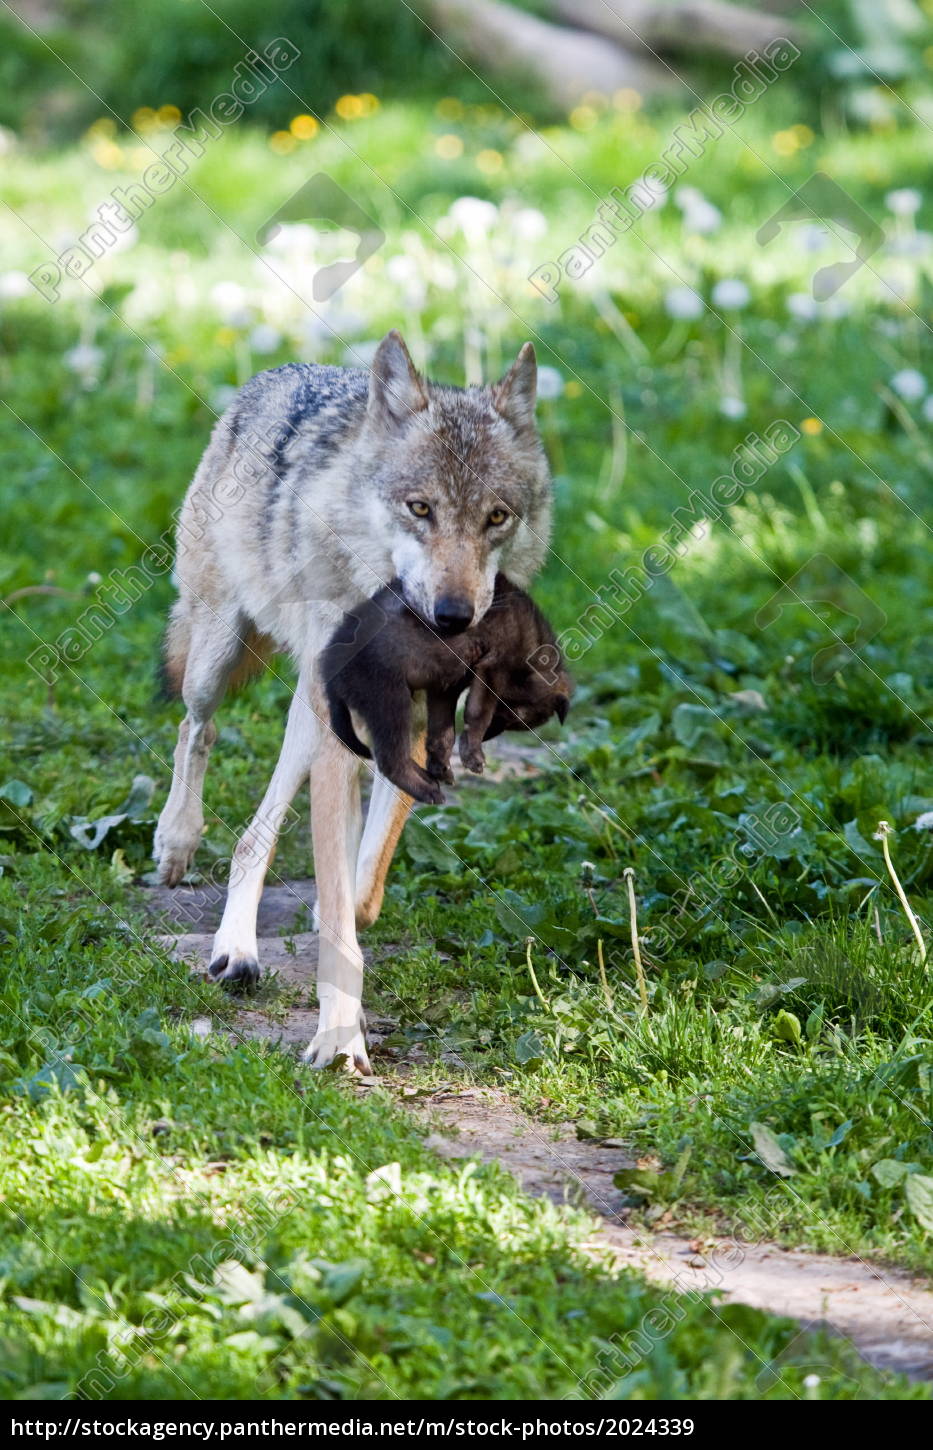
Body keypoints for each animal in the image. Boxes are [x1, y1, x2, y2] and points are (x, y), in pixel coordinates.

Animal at [320, 568, 568, 806]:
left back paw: (425, 777)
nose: (486, 740)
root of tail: (330, 673)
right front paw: (472, 754)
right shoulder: (493, 668)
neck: (533, 644)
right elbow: (477, 714)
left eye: (511, 723)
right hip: (389, 698)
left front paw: (441, 766)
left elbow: (443, 731)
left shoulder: (447, 685)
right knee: (390, 760)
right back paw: (424, 790)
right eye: (507, 715)